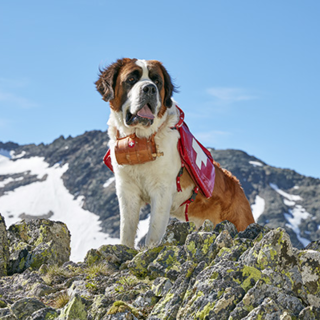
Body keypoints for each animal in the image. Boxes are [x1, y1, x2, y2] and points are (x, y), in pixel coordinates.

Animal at [95, 58, 255, 248]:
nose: (149, 88)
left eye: (157, 81)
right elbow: (126, 230)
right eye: (131, 79)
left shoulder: (162, 192)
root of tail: (238, 187)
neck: (140, 140)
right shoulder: (127, 191)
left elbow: (153, 233)